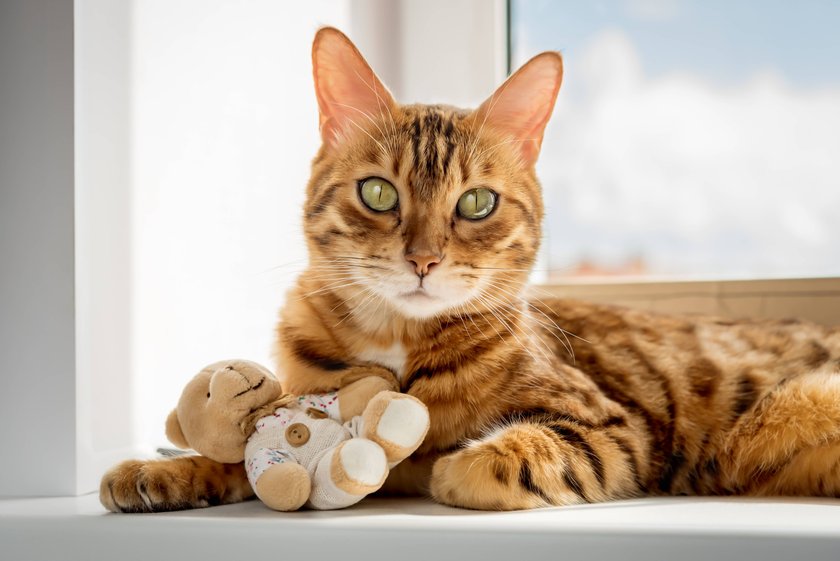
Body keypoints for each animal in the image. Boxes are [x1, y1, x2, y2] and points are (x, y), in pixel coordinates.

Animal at [101, 27, 840, 512]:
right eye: (379, 193)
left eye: (476, 203)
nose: (424, 259)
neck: (396, 341)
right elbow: (241, 452)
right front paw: (164, 469)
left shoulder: (614, 427)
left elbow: (525, 452)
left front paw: (459, 465)